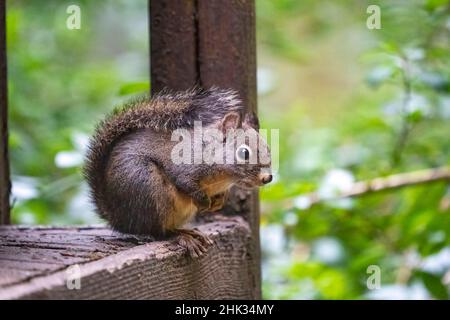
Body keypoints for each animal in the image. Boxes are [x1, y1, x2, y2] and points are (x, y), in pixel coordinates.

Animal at [84, 87, 270, 258]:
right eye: (244, 153)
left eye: (268, 148)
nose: (268, 177)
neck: (224, 178)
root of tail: (119, 218)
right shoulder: (184, 167)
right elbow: (185, 182)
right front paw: (204, 202)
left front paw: (219, 202)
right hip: (148, 188)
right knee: (158, 232)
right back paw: (181, 237)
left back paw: (190, 232)